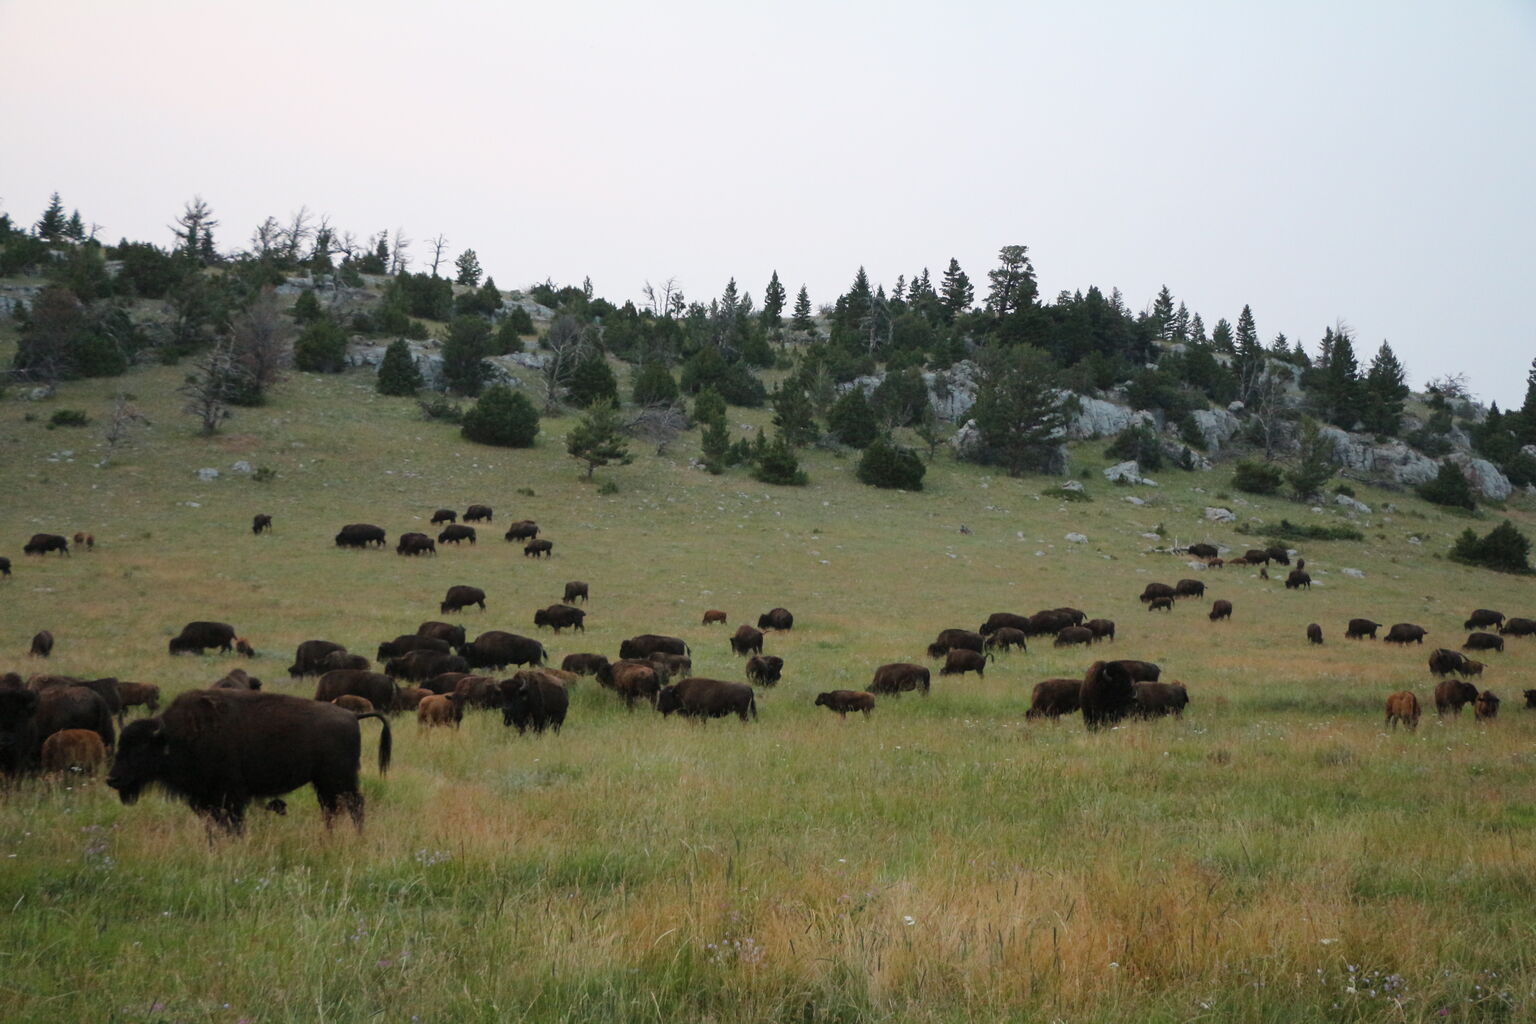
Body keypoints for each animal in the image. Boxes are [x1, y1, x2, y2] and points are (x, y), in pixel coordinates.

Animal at [108, 687, 390, 835]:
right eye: (121, 745)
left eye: (140, 748)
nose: (112, 778)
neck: (176, 736)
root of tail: (353, 716)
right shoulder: (205, 800)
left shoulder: (231, 796)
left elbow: (233, 825)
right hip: (324, 782)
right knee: (332, 808)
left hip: (339, 779)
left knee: (354, 805)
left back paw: (357, 837)